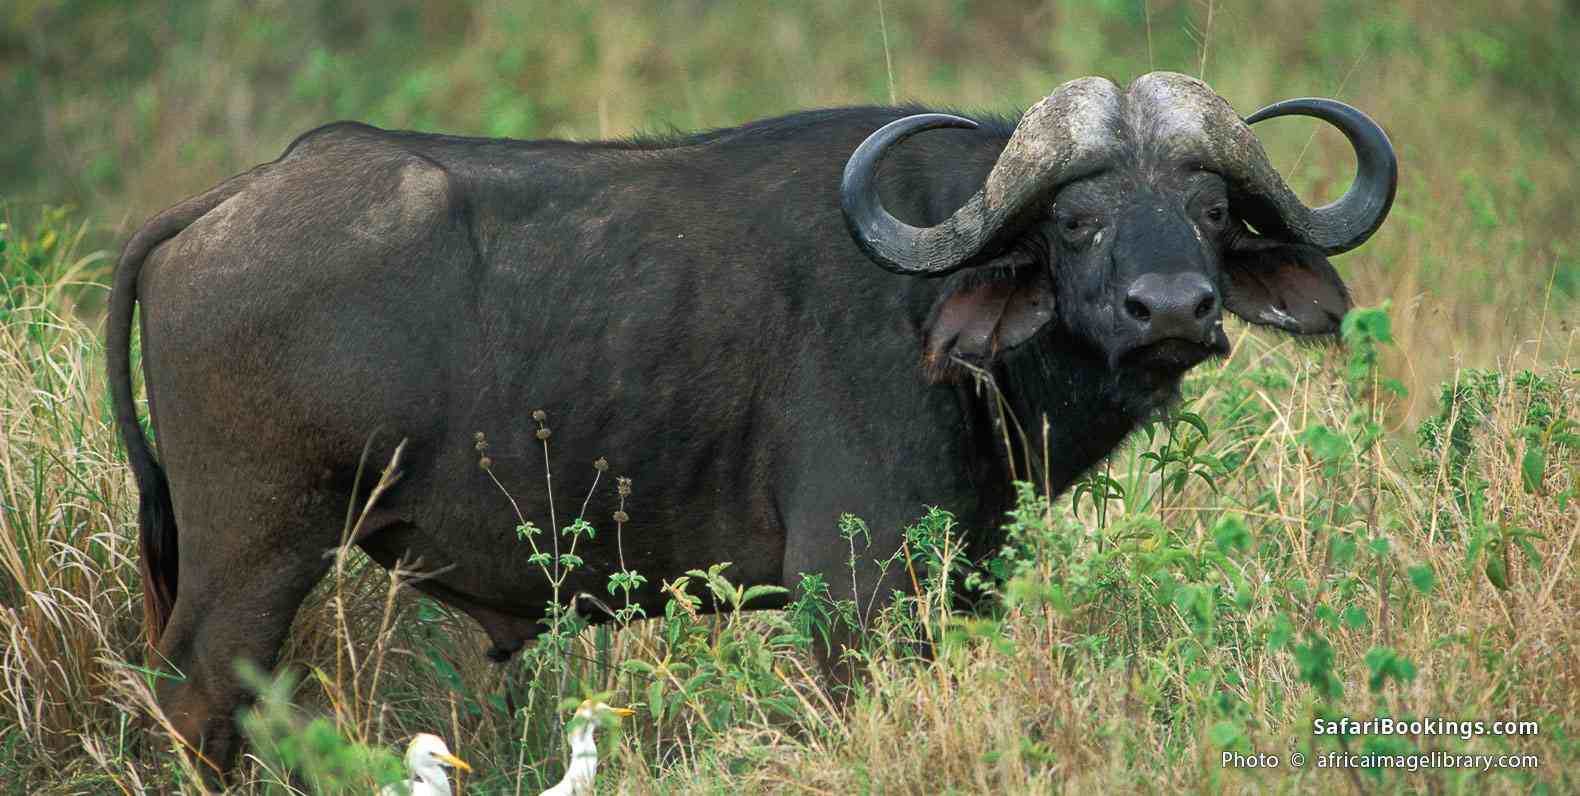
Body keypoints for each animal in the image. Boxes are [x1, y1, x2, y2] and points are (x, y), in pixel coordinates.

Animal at [107, 71, 1395, 767]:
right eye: (1074, 222)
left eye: (1210, 209)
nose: (1171, 307)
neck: (938, 311)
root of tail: (223, 205)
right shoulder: (856, 594)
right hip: (253, 556)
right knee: (196, 703)